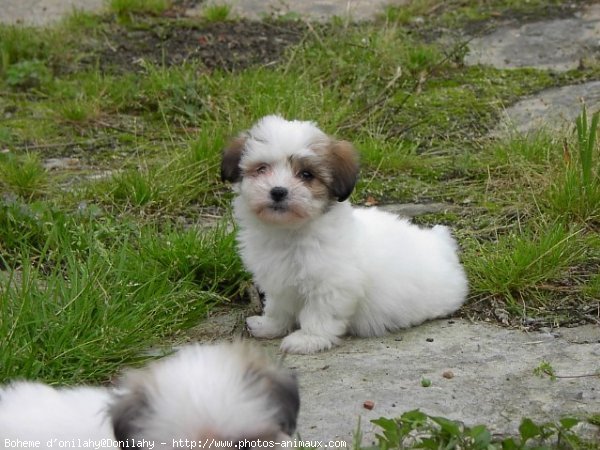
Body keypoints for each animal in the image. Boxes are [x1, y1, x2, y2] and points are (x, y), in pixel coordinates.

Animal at [223, 116, 472, 356]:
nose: (278, 191)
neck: (289, 232)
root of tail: (439, 244)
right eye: (261, 168)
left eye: (306, 175)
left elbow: (319, 313)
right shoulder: (277, 279)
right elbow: (278, 306)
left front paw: (308, 339)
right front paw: (270, 325)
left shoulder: (332, 285)